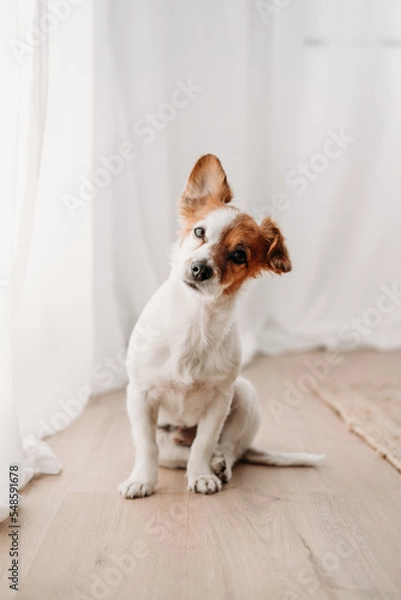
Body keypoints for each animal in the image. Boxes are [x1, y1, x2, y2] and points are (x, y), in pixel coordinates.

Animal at [118, 154, 322, 496]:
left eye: (239, 255)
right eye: (200, 232)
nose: (200, 269)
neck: (195, 320)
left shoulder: (219, 400)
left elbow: (205, 442)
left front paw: (201, 474)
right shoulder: (141, 395)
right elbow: (146, 447)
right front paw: (141, 480)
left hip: (244, 394)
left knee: (227, 448)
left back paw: (217, 465)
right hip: (169, 434)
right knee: (175, 451)